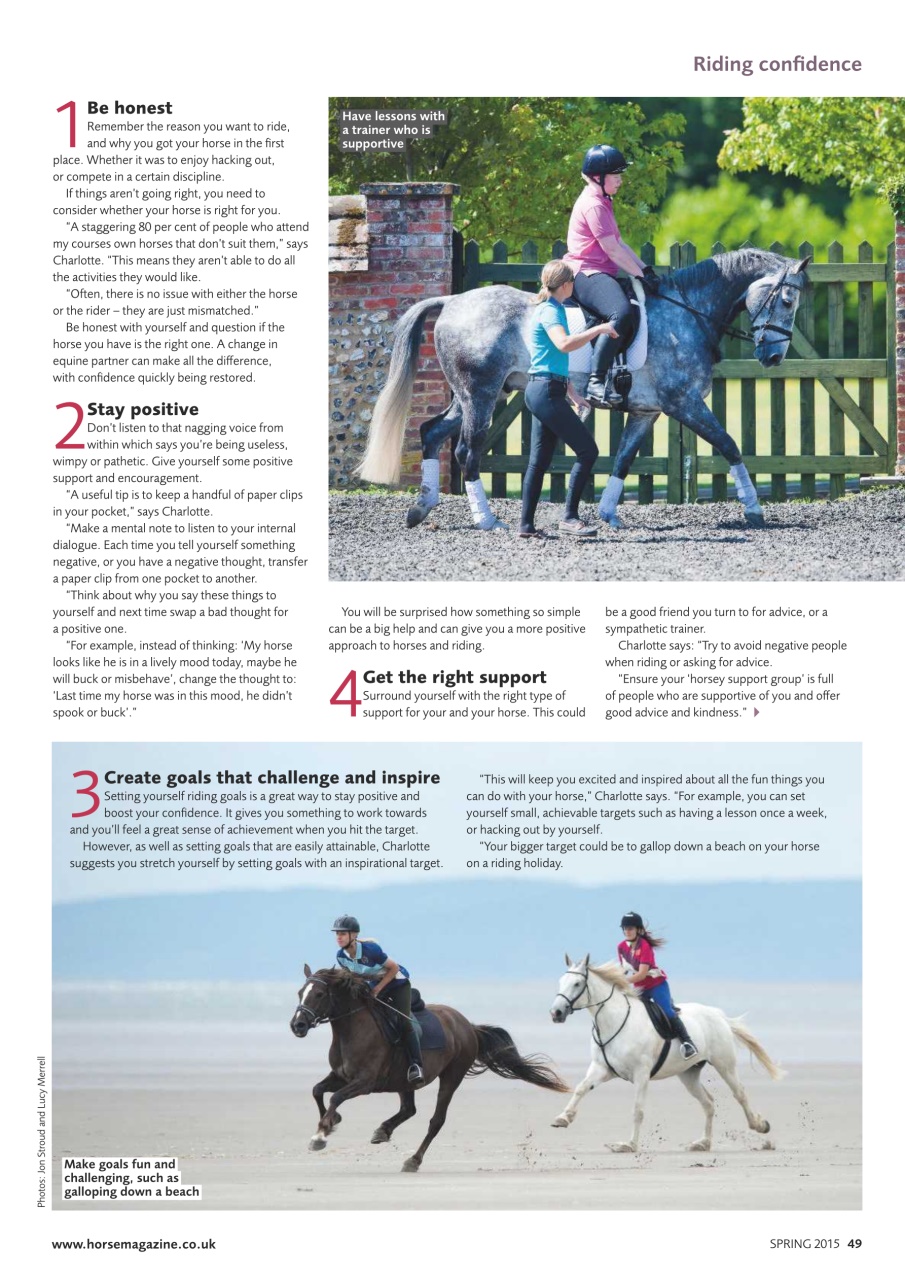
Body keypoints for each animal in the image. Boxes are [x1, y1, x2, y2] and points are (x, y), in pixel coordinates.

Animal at [291, 965, 568, 1172]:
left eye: (319, 994)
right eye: (300, 992)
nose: (298, 1025)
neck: (353, 1029)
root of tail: (468, 1026)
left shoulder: (365, 1082)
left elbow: (336, 1097)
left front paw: (320, 1136)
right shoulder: (340, 1075)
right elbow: (318, 1090)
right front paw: (331, 1122)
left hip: (452, 1076)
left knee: (436, 1121)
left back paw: (413, 1160)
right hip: (405, 1081)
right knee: (408, 1109)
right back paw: (383, 1131)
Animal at [357, 248, 810, 532]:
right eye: (788, 301)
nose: (773, 356)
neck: (688, 312)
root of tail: (453, 301)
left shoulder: (647, 412)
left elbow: (623, 461)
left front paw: (608, 512)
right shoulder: (684, 404)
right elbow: (730, 445)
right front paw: (753, 509)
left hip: (475, 397)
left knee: (432, 433)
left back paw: (421, 508)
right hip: (480, 395)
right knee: (467, 452)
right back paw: (485, 519)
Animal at [549, 956, 784, 1153]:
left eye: (577, 984)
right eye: (561, 981)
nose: (556, 1013)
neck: (613, 1021)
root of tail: (718, 1015)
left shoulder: (641, 1073)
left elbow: (638, 1109)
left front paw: (629, 1145)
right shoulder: (602, 1068)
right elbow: (581, 1088)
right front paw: (563, 1118)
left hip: (724, 1064)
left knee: (740, 1094)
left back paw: (760, 1125)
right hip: (689, 1074)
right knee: (708, 1102)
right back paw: (703, 1143)